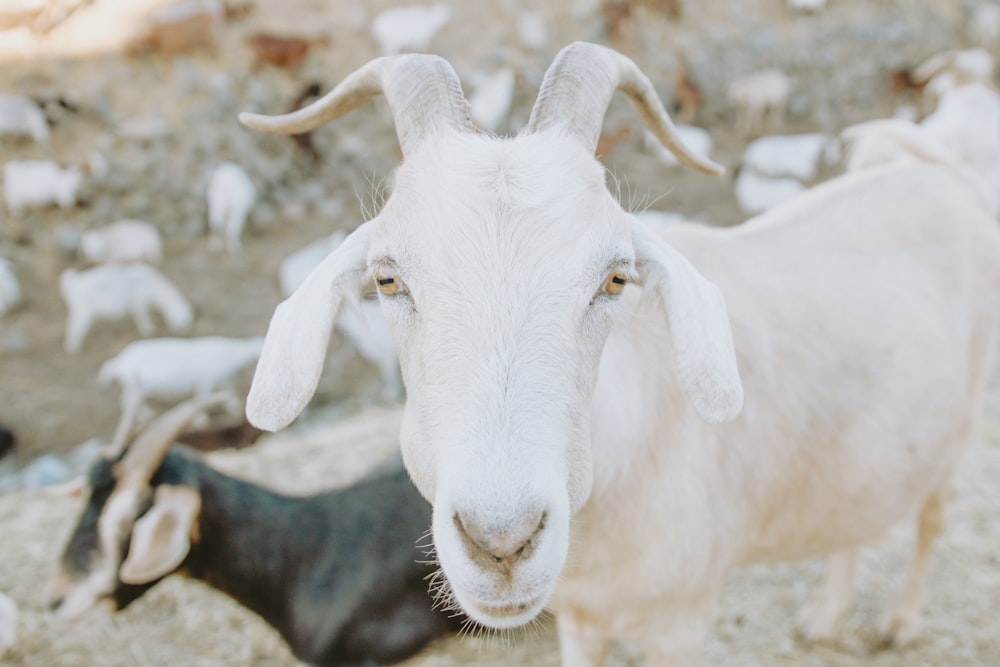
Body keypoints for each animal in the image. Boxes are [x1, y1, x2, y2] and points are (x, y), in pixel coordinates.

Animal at [236, 43, 1000, 667]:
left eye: (615, 278)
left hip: (961, 420)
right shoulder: (580, 618)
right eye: (388, 279)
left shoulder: (683, 619)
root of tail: (944, 176)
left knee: (932, 516)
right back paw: (825, 617)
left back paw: (899, 625)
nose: (501, 542)